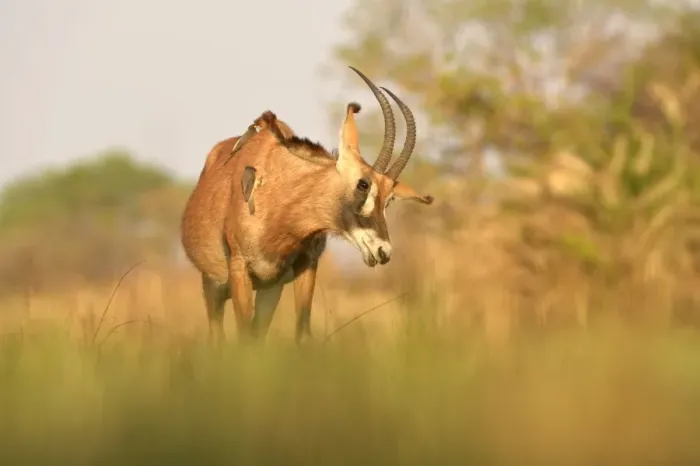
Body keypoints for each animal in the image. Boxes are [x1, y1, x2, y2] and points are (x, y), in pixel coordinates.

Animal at [180, 66, 433, 344]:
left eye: (389, 198)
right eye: (363, 184)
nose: (383, 251)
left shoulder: (305, 267)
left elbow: (301, 332)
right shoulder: (239, 270)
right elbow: (244, 337)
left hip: (269, 290)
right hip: (213, 286)